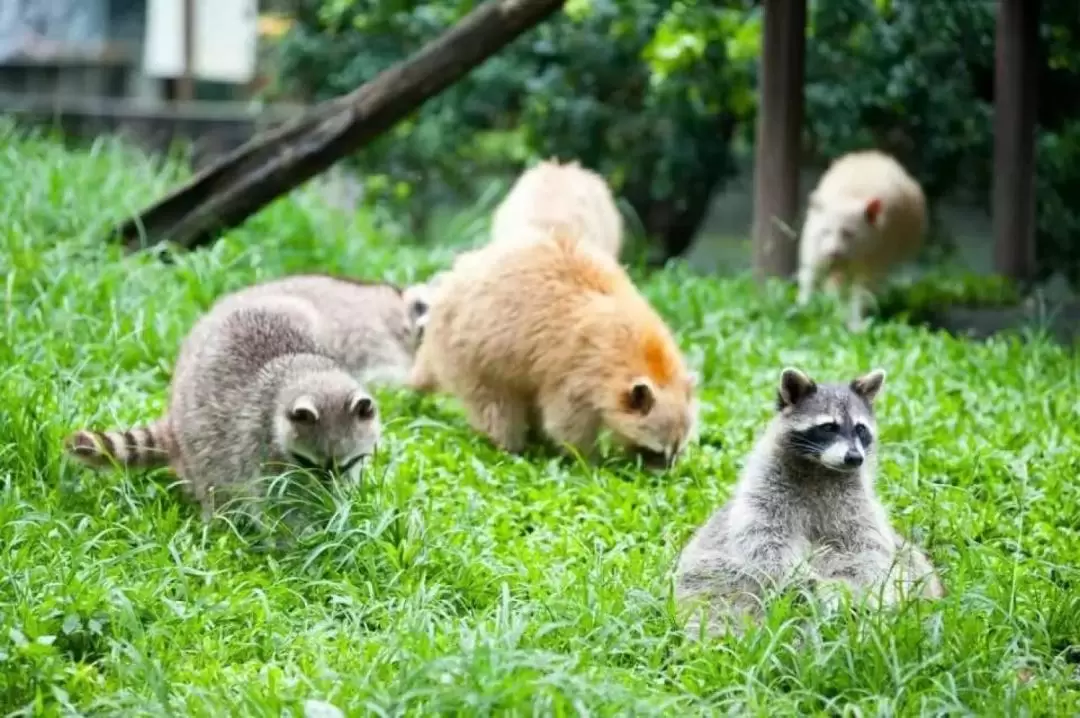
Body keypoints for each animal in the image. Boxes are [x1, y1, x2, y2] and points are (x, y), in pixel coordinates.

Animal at [65, 293, 380, 518]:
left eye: (346, 464)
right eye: (309, 463)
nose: (328, 495)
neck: (307, 372)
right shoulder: (257, 444)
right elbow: (276, 507)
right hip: (199, 442)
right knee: (213, 483)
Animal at [408, 226, 695, 468]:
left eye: (677, 450)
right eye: (656, 451)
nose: (664, 475)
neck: (646, 355)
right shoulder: (579, 365)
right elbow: (566, 421)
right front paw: (589, 459)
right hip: (472, 351)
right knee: (494, 404)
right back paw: (509, 444)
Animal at [673, 367, 946, 634]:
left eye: (860, 428)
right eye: (828, 427)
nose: (854, 458)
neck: (820, 468)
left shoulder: (857, 504)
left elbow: (869, 550)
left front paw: (852, 590)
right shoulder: (764, 493)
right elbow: (767, 546)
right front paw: (814, 584)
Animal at [794, 152, 928, 332]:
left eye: (849, 233)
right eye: (825, 231)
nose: (833, 253)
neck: (850, 196)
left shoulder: (876, 256)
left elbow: (862, 293)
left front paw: (855, 324)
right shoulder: (815, 248)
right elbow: (811, 276)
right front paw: (805, 308)